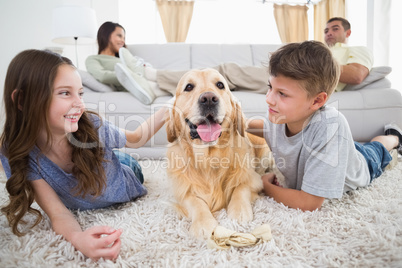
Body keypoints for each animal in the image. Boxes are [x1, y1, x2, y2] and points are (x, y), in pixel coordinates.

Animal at [166, 68, 276, 240]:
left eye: (220, 85)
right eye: (189, 87)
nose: (209, 99)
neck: (209, 158)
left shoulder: (253, 179)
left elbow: (241, 188)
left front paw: (239, 211)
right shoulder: (180, 191)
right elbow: (195, 201)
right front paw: (203, 223)